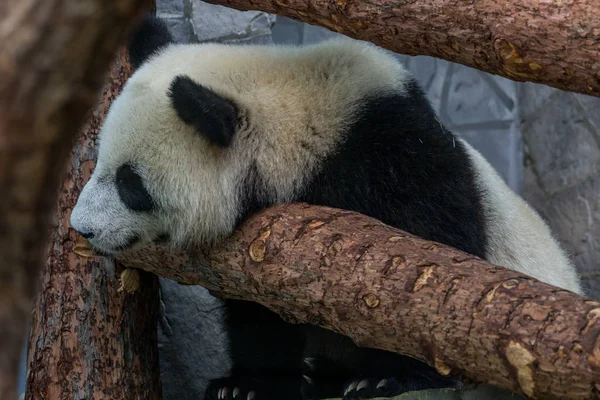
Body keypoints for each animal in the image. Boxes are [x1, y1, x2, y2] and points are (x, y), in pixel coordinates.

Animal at [69, 14, 580, 400]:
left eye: (131, 183)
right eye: (99, 162)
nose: (82, 229)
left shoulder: (392, 156)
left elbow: (430, 262)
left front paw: (388, 376)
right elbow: (259, 313)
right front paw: (246, 385)